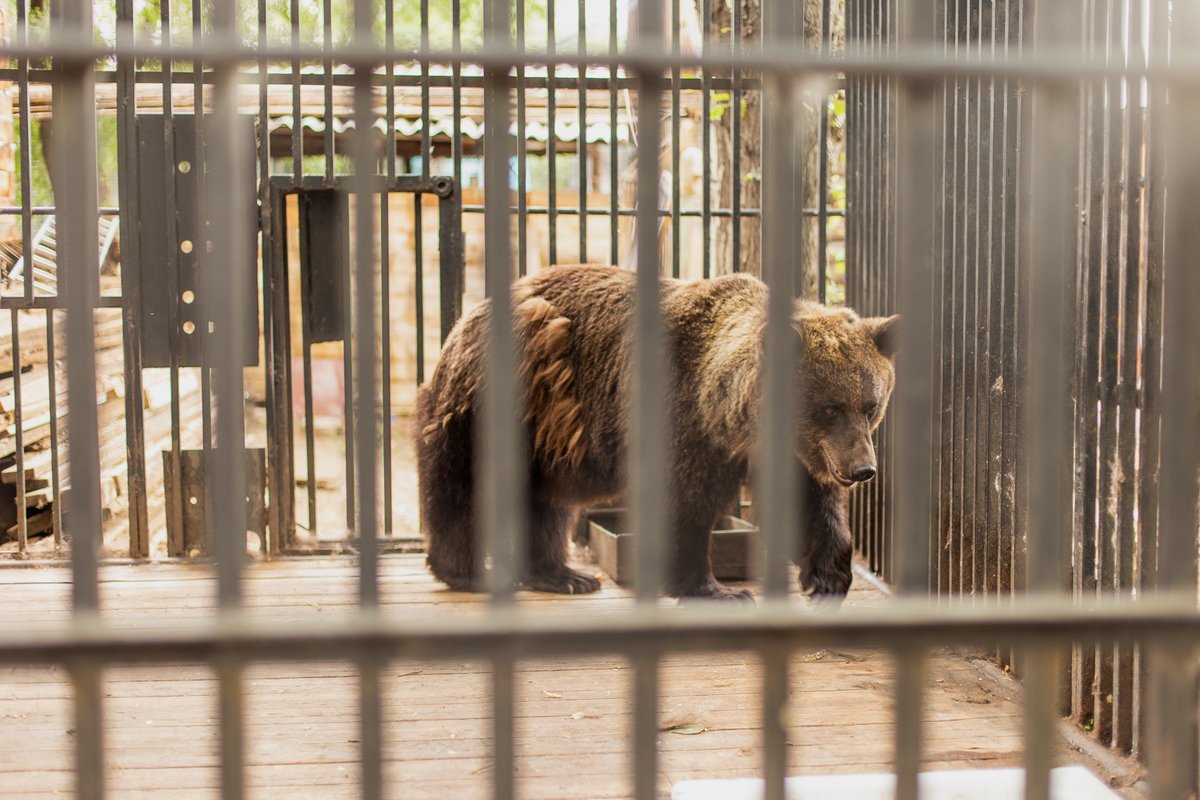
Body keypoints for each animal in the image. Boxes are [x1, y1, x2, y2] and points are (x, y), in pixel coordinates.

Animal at [417, 263, 897, 599]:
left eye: (871, 405)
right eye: (829, 408)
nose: (863, 469)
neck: (729, 416)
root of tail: (465, 320)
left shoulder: (786, 451)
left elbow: (810, 502)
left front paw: (827, 579)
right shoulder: (682, 416)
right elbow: (684, 502)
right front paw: (714, 589)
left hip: (549, 438)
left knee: (545, 502)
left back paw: (564, 575)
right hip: (500, 400)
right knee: (465, 486)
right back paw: (469, 572)